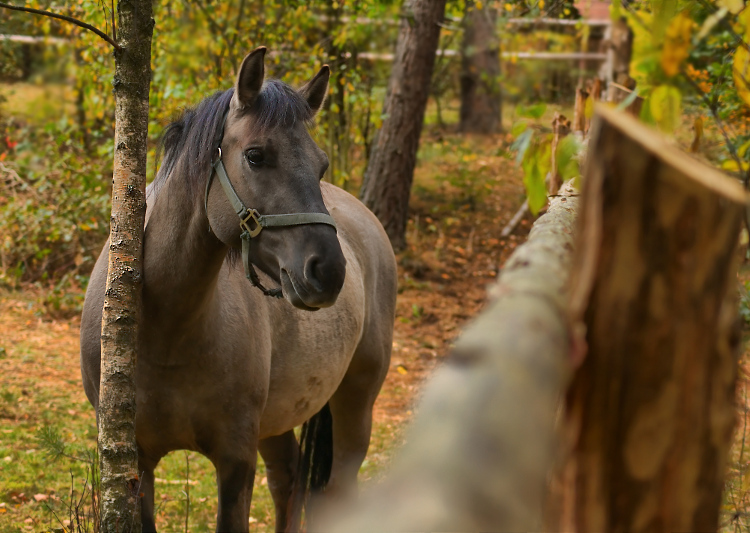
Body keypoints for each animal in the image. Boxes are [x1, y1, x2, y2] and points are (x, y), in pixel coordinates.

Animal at [78, 47, 400, 528]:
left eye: (320, 164)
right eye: (255, 155)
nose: (328, 270)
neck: (167, 331)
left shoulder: (235, 461)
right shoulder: (138, 465)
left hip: (354, 407)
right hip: (279, 422)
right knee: (288, 481)